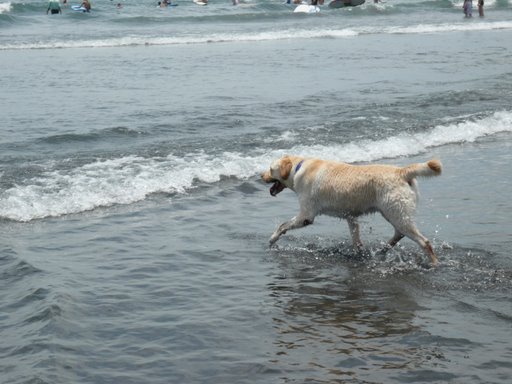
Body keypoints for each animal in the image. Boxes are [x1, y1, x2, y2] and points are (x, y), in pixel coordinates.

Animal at [262, 154, 442, 266]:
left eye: (270, 170)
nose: (260, 176)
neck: (297, 168)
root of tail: (402, 171)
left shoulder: (305, 216)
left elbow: (282, 225)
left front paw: (272, 239)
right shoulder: (350, 216)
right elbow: (355, 238)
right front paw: (358, 252)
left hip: (395, 212)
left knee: (423, 242)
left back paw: (434, 264)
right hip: (394, 213)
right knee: (399, 234)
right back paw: (382, 250)